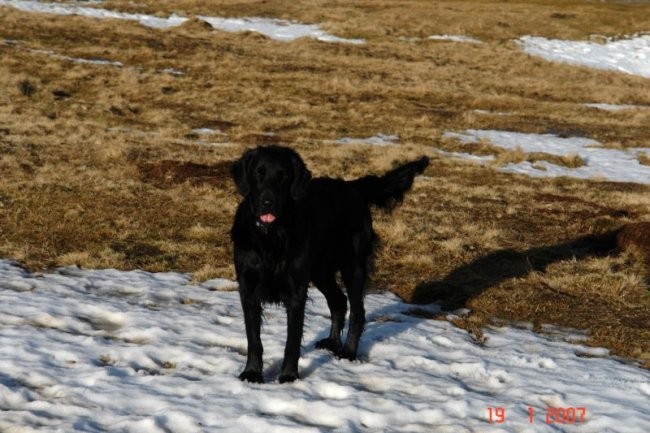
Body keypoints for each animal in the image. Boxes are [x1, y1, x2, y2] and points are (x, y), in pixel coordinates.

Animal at [230, 146, 428, 382]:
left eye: (283, 176)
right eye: (258, 173)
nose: (267, 203)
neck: (272, 236)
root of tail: (352, 186)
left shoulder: (296, 291)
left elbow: (292, 340)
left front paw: (288, 376)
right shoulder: (248, 289)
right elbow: (254, 339)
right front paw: (252, 372)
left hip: (353, 266)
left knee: (357, 311)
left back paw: (348, 352)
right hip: (320, 272)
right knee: (339, 301)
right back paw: (332, 342)